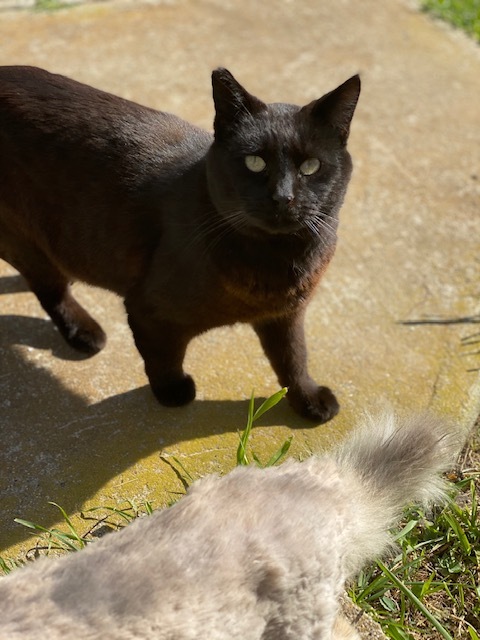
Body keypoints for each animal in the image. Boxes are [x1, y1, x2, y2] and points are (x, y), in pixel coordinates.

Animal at [0, 67, 360, 422]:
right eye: (255, 162)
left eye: (310, 166)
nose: (283, 197)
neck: (277, 260)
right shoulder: (149, 311)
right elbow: (164, 357)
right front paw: (173, 392)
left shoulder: (285, 315)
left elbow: (293, 358)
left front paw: (308, 400)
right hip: (26, 238)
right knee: (50, 288)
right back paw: (86, 333)